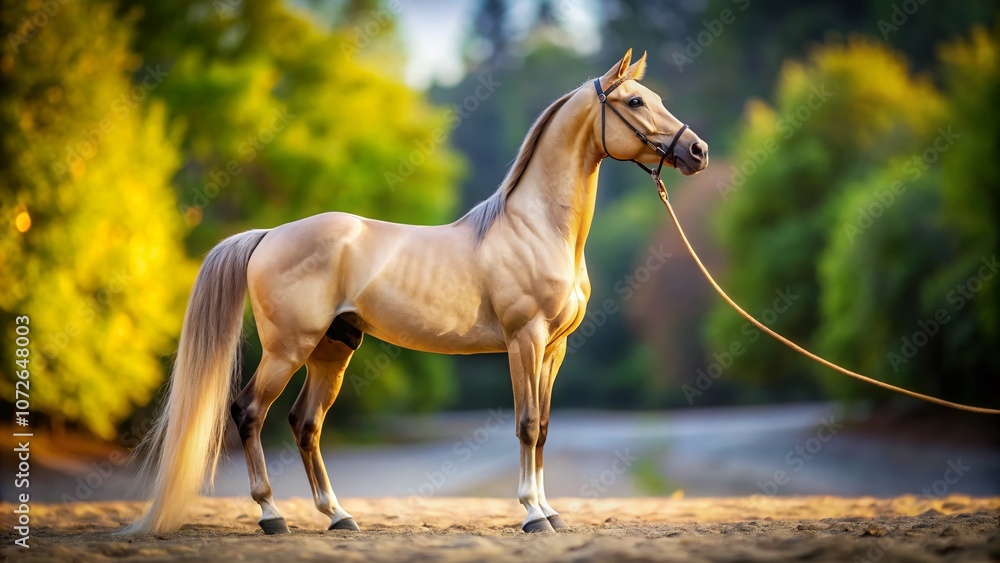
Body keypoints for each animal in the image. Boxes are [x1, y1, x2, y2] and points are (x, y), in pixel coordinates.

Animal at [124, 48, 708, 536]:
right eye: (636, 101)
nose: (697, 150)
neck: (536, 227)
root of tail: (268, 234)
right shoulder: (525, 339)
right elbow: (523, 425)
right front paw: (532, 515)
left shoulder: (555, 347)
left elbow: (542, 428)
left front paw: (550, 512)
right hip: (288, 348)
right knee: (249, 413)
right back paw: (272, 516)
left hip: (332, 350)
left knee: (305, 424)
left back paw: (339, 517)